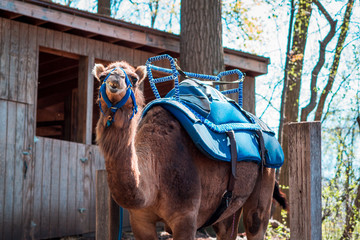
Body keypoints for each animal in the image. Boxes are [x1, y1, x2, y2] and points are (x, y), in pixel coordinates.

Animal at [93, 60, 286, 240]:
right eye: (102, 77)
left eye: (133, 79)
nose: (114, 78)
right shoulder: (140, 220)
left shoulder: (185, 216)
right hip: (231, 205)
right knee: (226, 228)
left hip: (266, 178)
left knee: (255, 222)